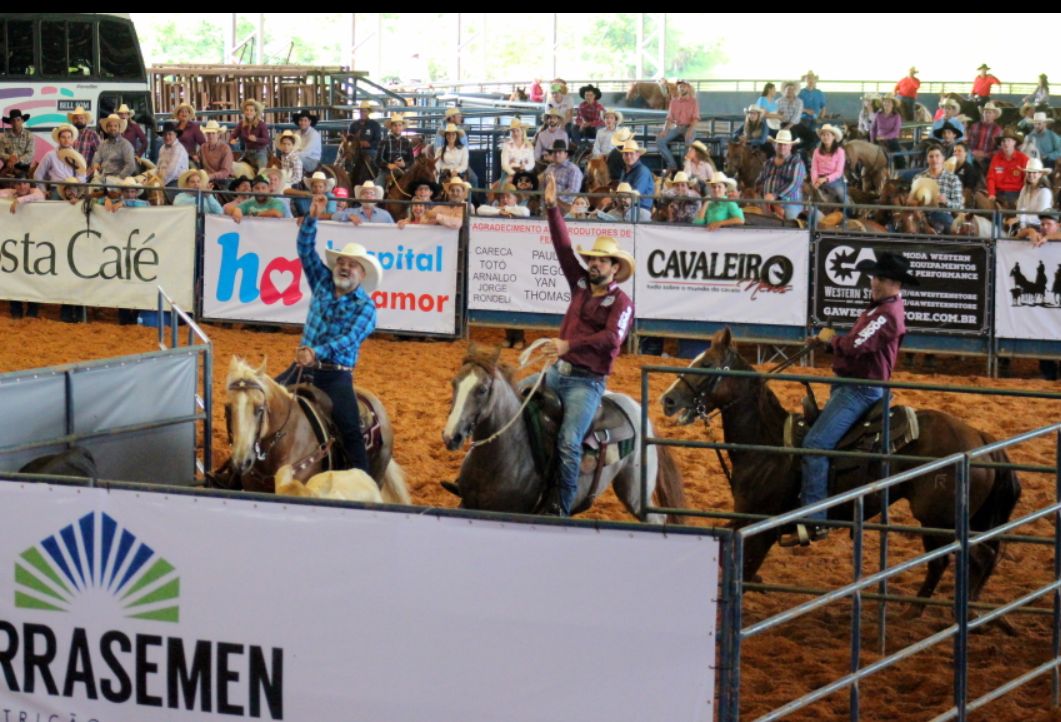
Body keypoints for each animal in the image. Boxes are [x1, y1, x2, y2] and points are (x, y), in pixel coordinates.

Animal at [441, 341, 683, 518]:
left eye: (482, 390)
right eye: (454, 383)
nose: (451, 436)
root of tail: (636, 408)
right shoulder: (466, 505)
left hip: (635, 493)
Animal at [662, 329, 1018, 615]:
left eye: (707, 366)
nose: (667, 400)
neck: (766, 444)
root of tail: (979, 438)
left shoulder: (759, 526)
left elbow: (743, 573)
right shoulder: (742, 521)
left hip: (941, 519)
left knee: (976, 557)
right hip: (941, 520)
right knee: (944, 559)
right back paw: (917, 610)